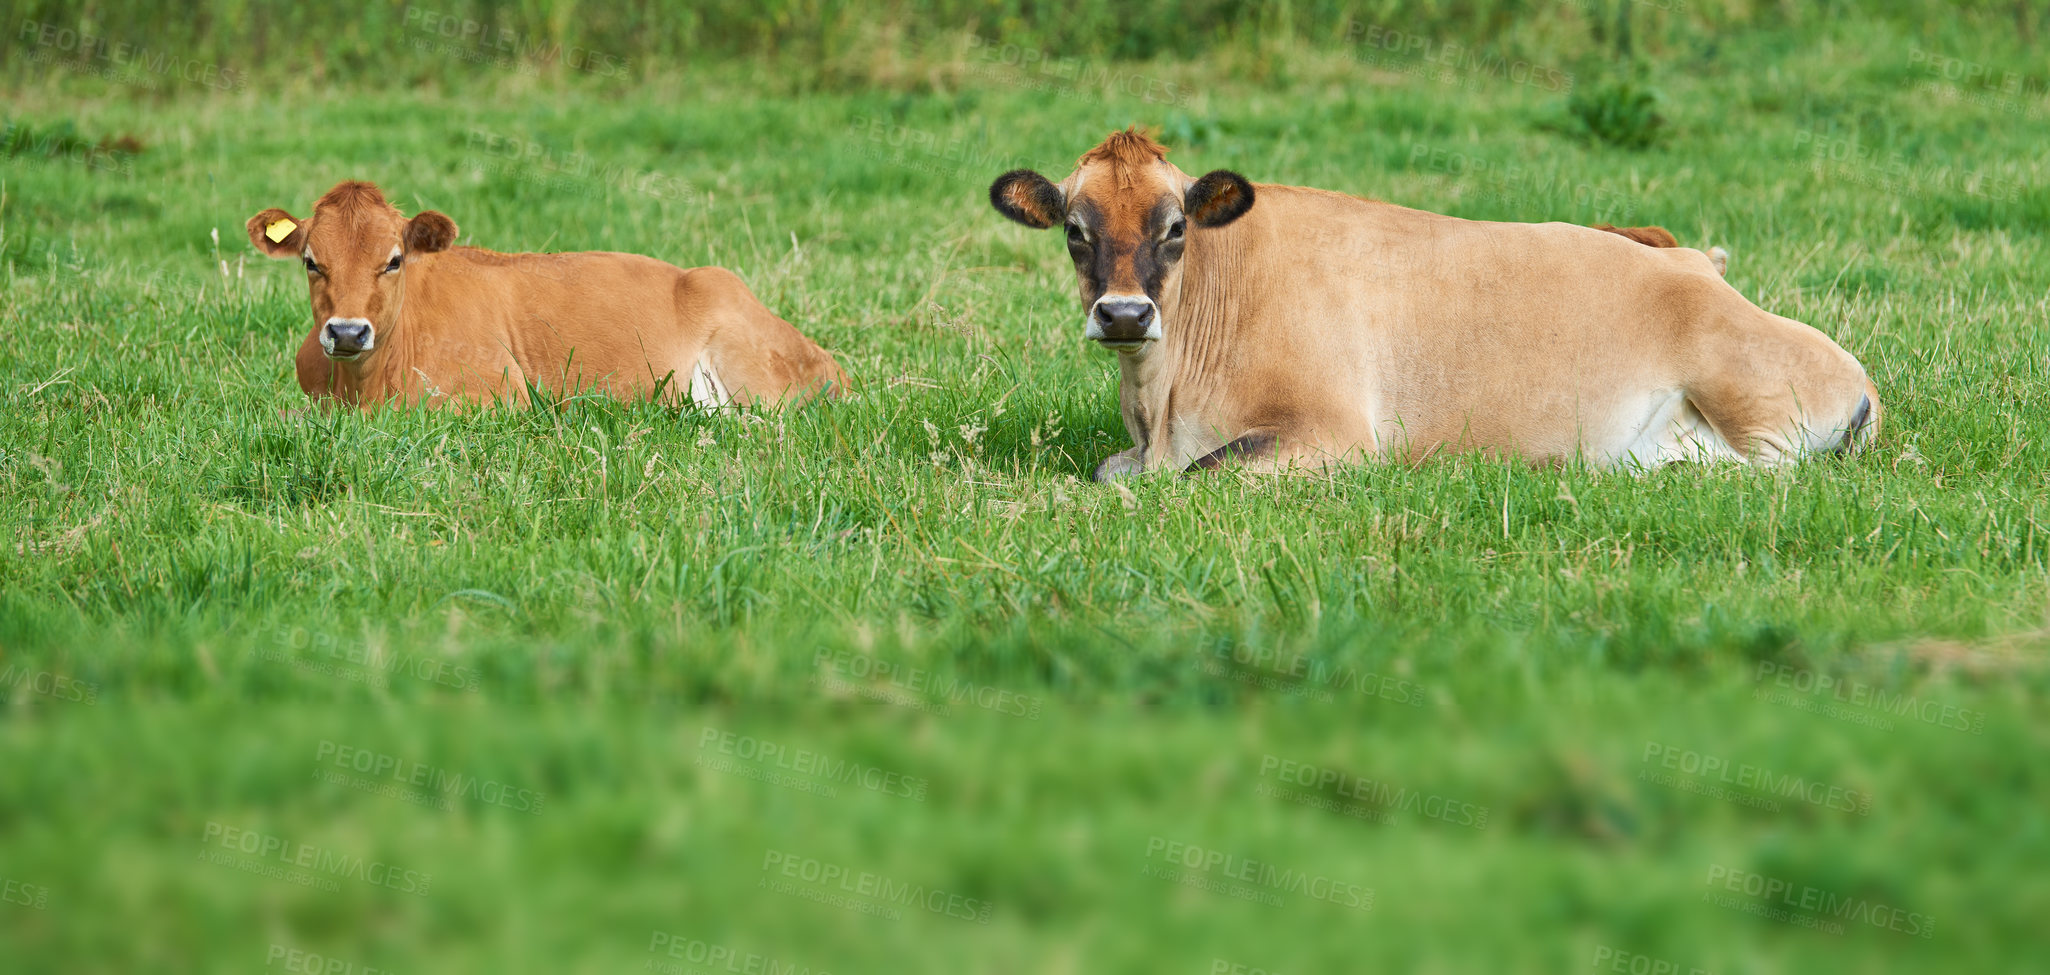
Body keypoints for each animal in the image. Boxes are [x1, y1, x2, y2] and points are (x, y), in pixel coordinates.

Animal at [988, 129, 1877, 479]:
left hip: (1751, 399)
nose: (1124, 314)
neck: (1162, 404)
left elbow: (1188, 476)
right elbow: (1115, 473)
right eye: (1074, 230)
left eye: (1175, 228)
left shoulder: (1335, 436)